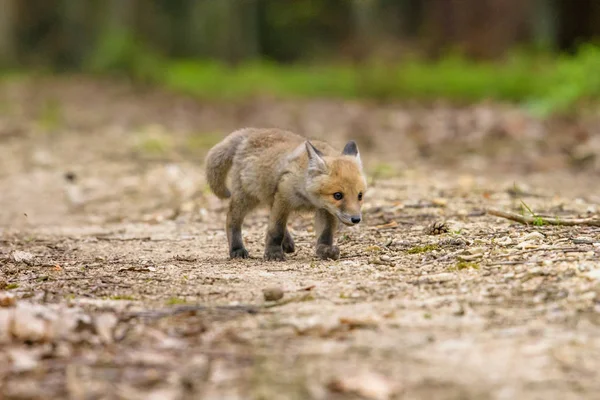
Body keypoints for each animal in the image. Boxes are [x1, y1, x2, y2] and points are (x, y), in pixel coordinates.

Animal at [205, 126, 366, 260]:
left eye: (360, 196)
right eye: (338, 195)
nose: (356, 219)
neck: (309, 198)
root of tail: (252, 131)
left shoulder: (325, 209)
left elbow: (325, 235)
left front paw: (325, 251)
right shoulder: (284, 199)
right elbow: (276, 230)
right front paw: (273, 253)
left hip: (269, 196)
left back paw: (287, 243)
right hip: (247, 197)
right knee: (232, 220)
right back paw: (237, 249)